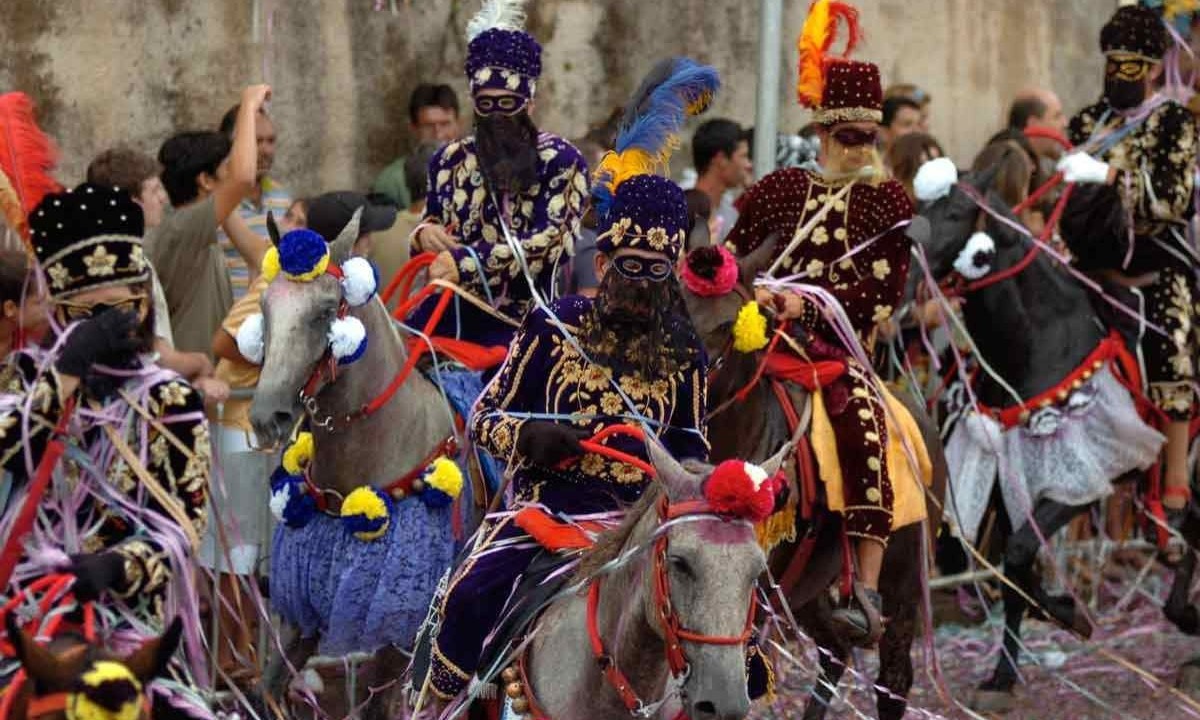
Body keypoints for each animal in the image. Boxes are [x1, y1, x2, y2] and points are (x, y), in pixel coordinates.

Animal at [250, 214, 460, 720]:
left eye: (326, 311)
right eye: (265, 308)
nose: (267, 418)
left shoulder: (396, 631)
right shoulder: (303, 613)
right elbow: (268, 688)